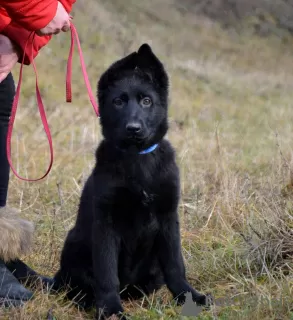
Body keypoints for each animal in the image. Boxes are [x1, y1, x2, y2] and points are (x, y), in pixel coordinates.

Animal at [53, 43, 208, 318]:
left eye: (147, 101)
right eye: (118, 102)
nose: (133, 128)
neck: (137, 159)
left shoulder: (168, 218)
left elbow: (175, 265)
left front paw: (188, 296)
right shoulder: (106, 223)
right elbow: (106, 274)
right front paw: (111, 309)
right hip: (73, 243)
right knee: (78, 286)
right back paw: (88, 301)